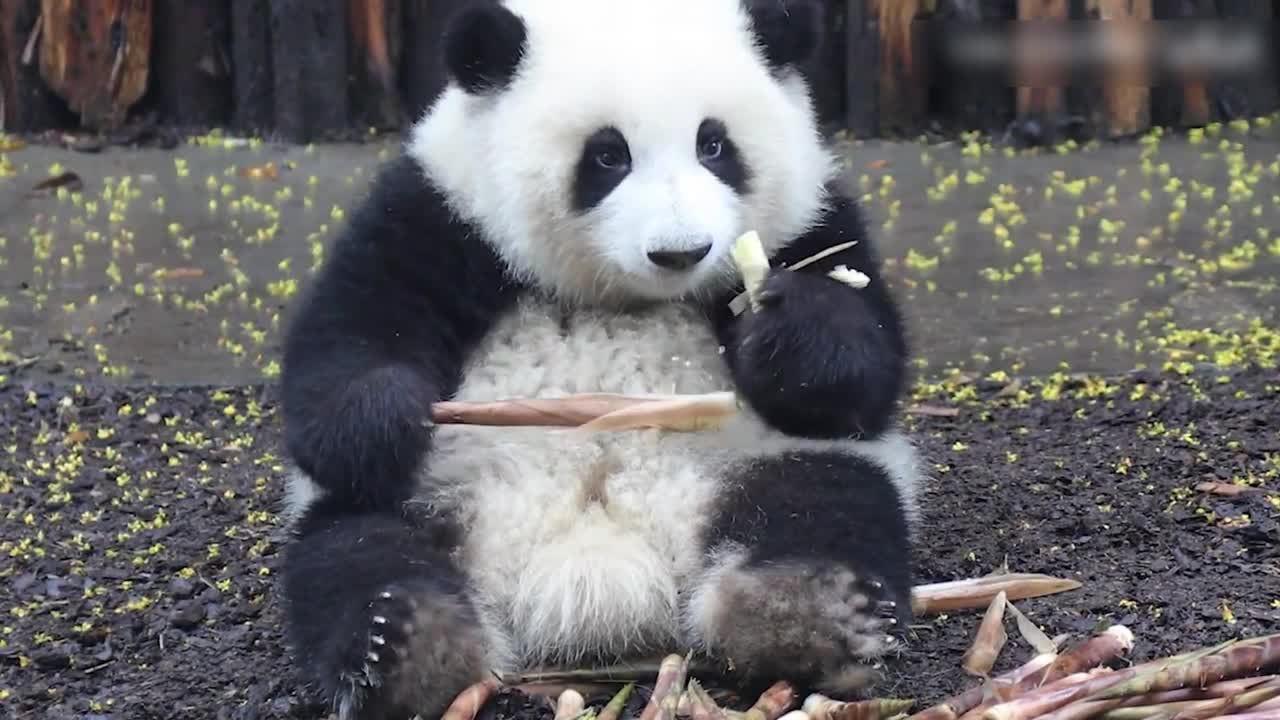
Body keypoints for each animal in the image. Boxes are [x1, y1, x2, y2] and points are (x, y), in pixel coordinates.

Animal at [275, 1, 926, 717]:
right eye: (608, 155)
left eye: (714, 145)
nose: (681, 251)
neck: (618, 294)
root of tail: (600, 577)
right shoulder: (439, 217)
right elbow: (345, 345)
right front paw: (391, 414)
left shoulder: (813, 218)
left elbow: (862, 372)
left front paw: (782, 325)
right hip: (432, 493)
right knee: (356, 549)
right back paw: (403, 643)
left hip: (753, 465)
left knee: (824, 502)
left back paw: (813, 608)